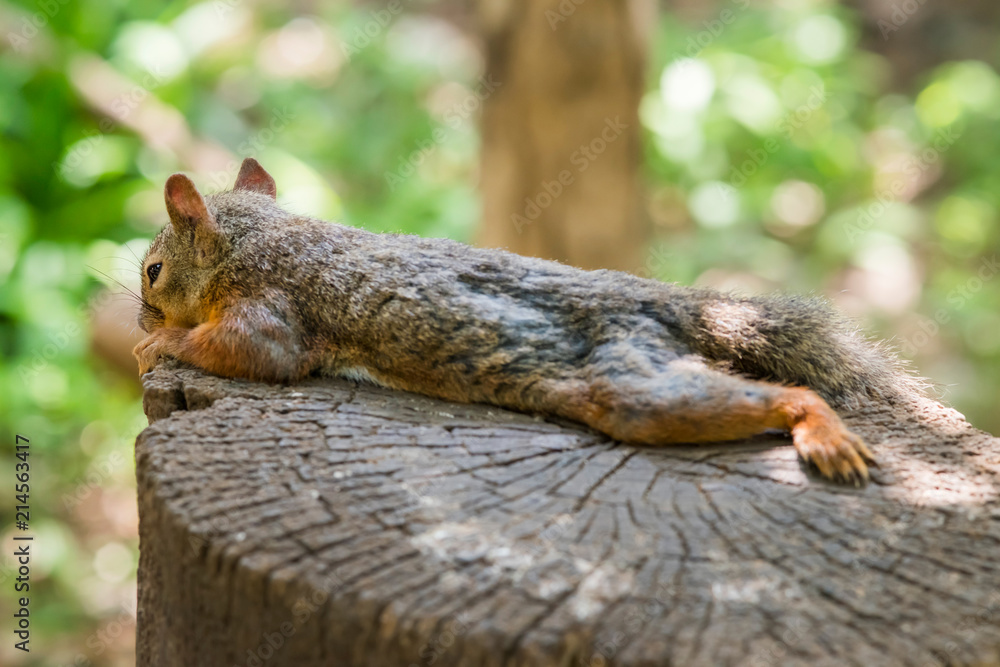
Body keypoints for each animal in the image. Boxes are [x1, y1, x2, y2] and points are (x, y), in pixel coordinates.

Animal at [135, 160, 920, 486]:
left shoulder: (270, 307)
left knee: (786, 395)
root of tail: (665, 303)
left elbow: (254, 352)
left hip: (632, 385)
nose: (139, 307)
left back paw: (824, 433)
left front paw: (155, 341)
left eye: (152, 271)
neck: (254, 243)